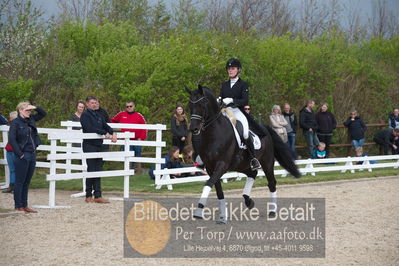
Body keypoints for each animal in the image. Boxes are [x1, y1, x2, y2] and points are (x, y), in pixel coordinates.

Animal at [187, 85, 300, 222]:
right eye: (190, 105)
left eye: (203, 104)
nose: (193, 129)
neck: (214, 134)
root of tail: (265, 128)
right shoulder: (210, 167)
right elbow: (218, 190)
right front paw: (222, 215)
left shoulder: (222, 165)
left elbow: (208, 184)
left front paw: (199, 211)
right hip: (241, 165)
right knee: (252, 173)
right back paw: (248, 201)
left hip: (267, 162)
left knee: (271, 183)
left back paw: (272, 211)